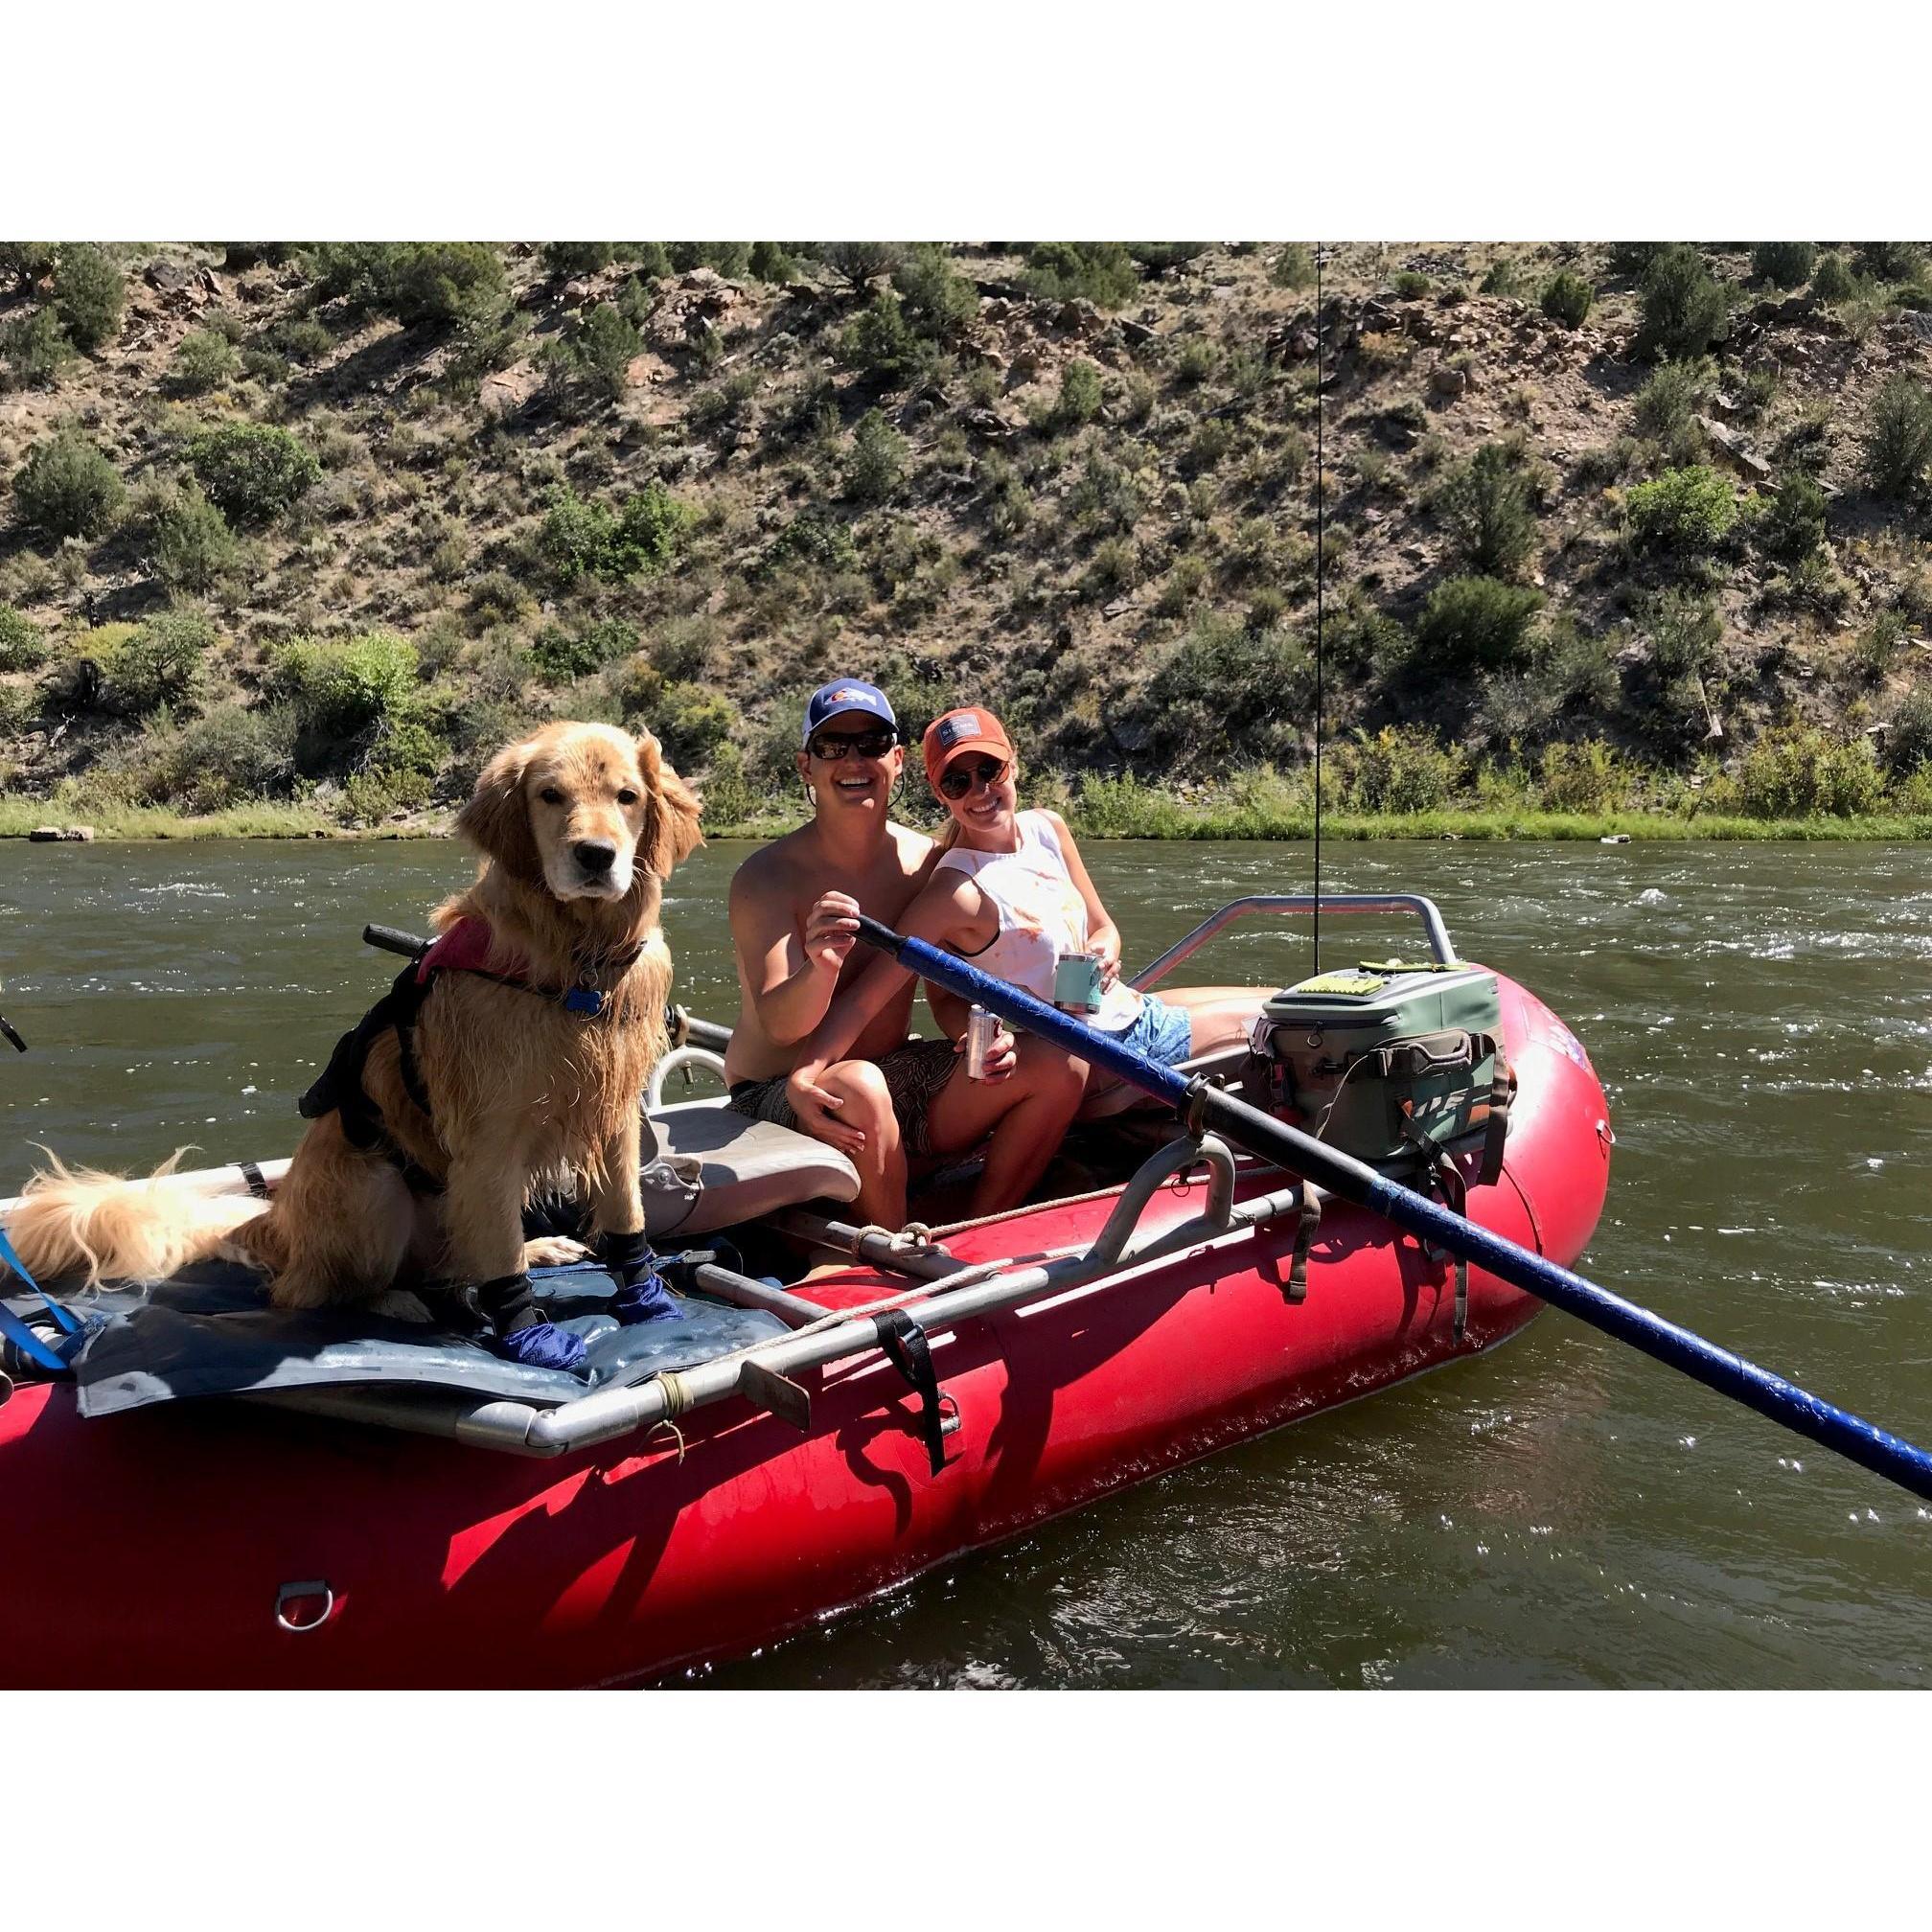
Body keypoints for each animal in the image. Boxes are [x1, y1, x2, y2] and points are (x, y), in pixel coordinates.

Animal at [7, 726, 702, 1375]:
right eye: (550, 795)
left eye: (628, 797)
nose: (596, 856)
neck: (574, 962)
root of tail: (278, 1226)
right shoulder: (487, 1139)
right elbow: (503, 1259)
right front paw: (530, 1334)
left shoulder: (613, 1121)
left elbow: (626, 1218)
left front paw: (646, 1298)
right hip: (376, 1189)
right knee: (315, 1293)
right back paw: (396, 1302)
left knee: (457, 1265)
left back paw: (534, 1253)